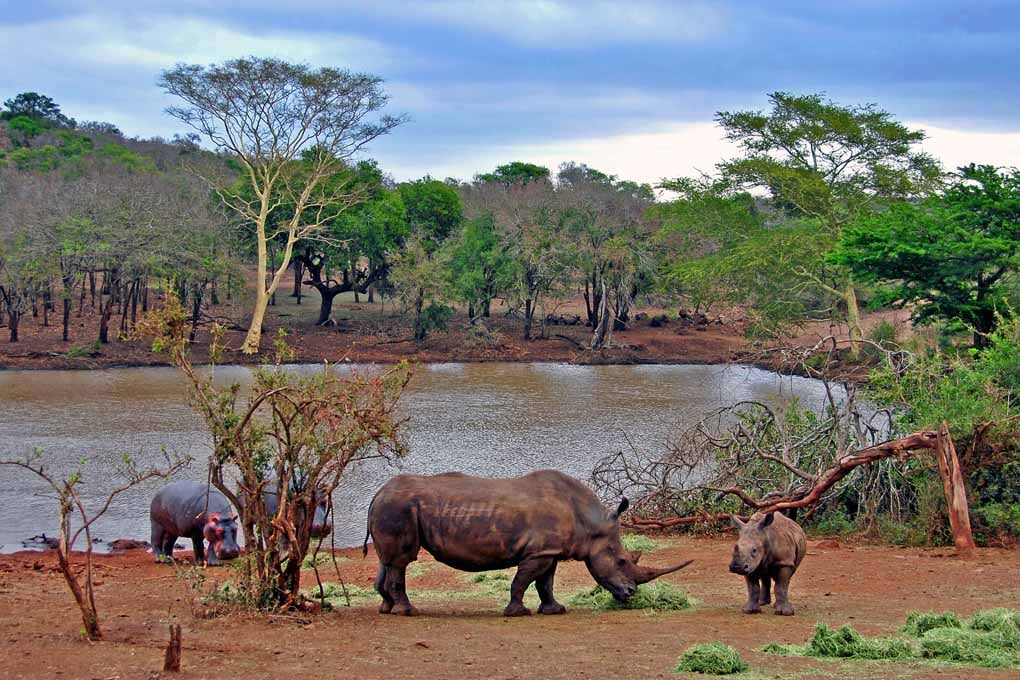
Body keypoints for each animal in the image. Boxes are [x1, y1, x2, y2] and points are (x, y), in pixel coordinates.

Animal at [364, 470, 692, 616]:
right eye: (622, 561)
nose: (631, 593)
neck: (590, 523)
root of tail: (377, 493)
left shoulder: (551, 551)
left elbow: (546, 583)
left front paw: (555, 610)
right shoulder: (538, 552)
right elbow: (523, 581)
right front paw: (516, 613)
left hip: (392, 507)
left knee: (387, 561)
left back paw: (386, 609)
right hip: (399, 508)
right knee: (402, 561)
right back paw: (408, 612)